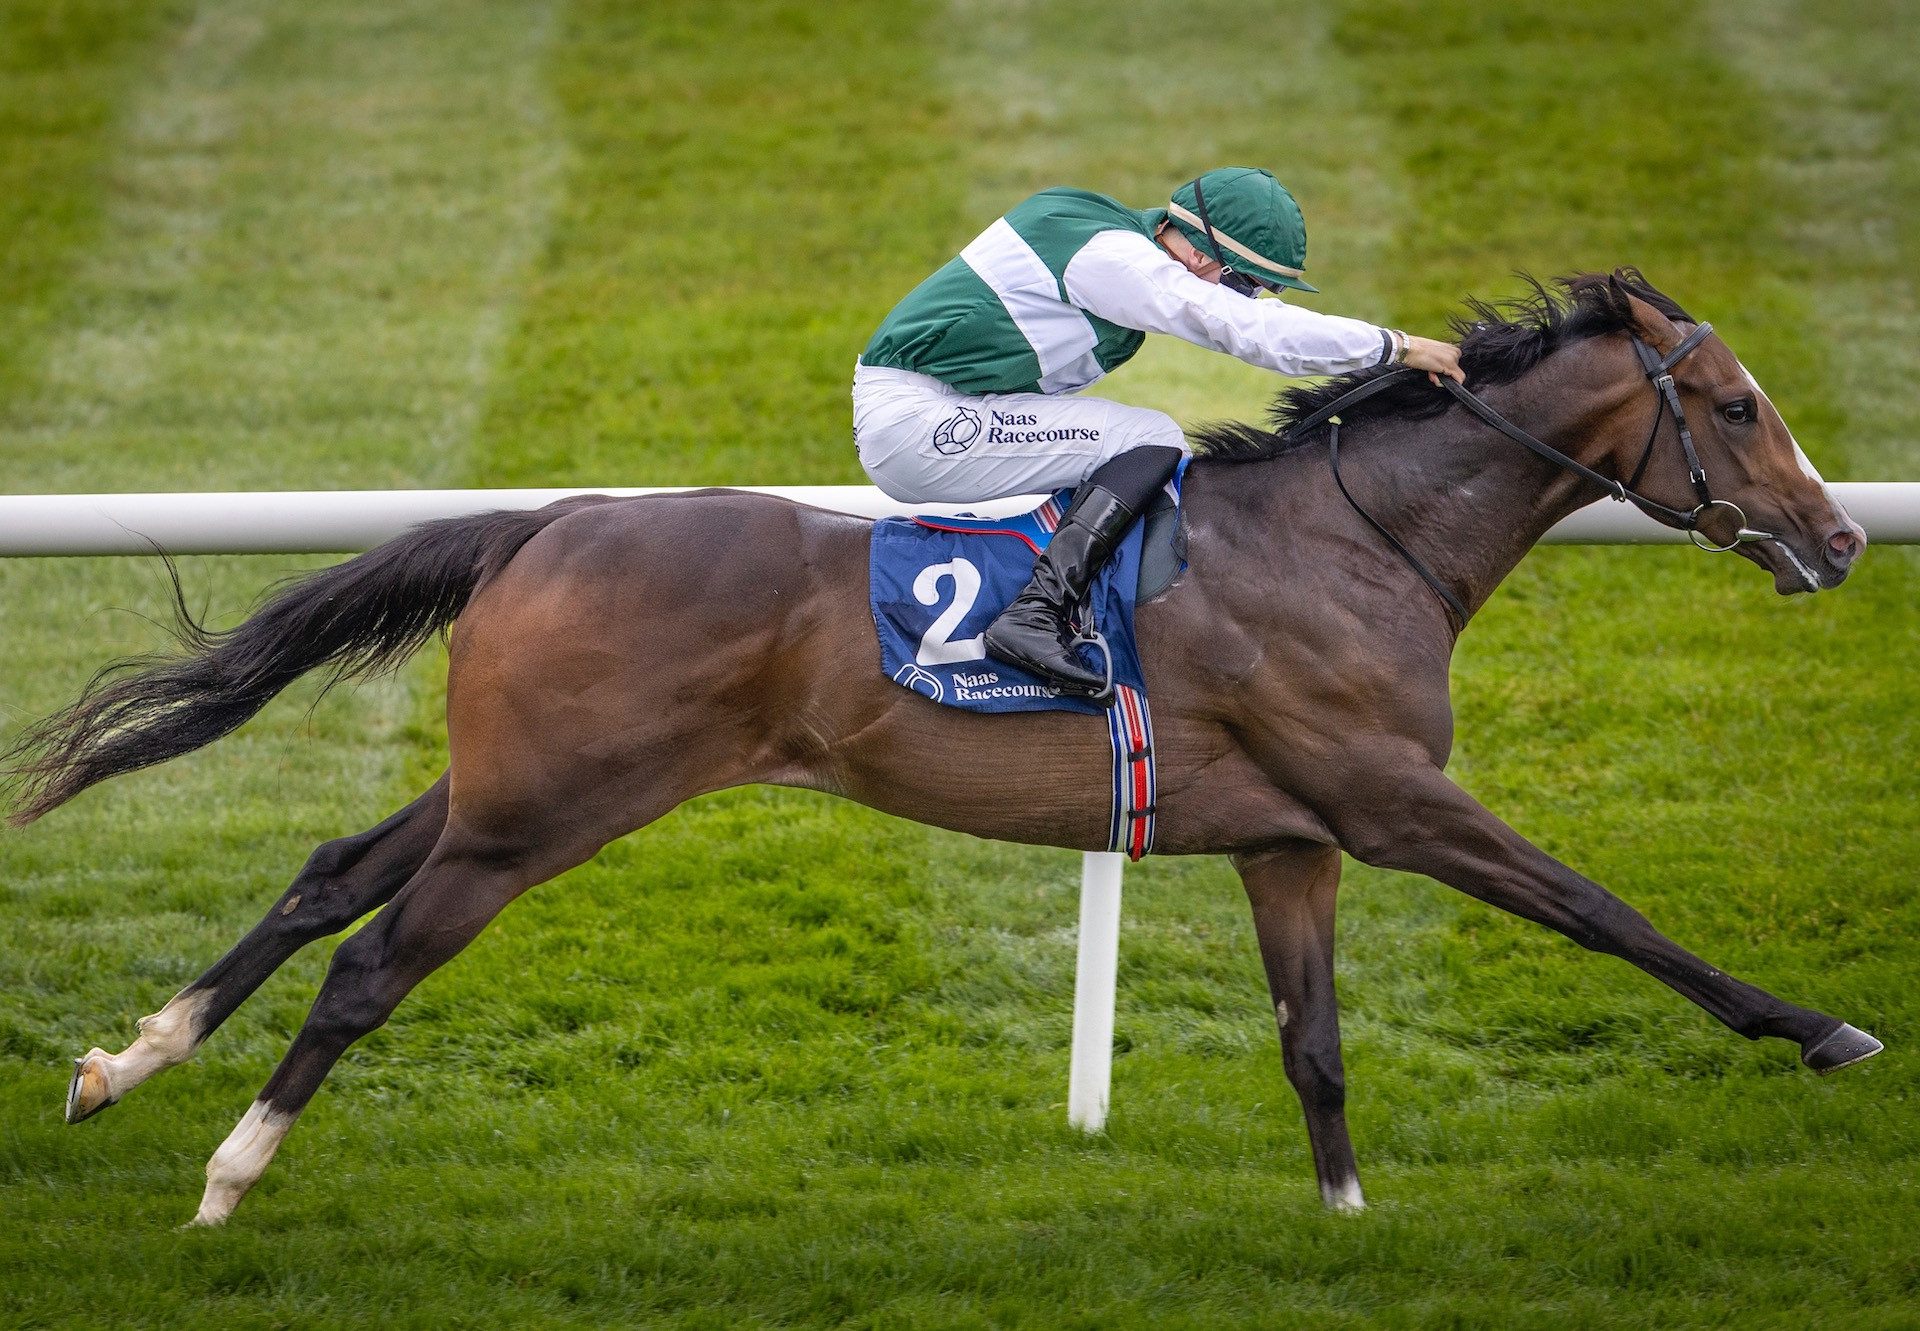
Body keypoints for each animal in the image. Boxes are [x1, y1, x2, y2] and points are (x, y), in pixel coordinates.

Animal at [3, 270, 1873, 1221]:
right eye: (1736, 405)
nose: (1842, 538)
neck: (1354, 538)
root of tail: (552, 518)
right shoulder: (1392, 797)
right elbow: (1605, 911)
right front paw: (1818, 1027)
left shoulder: (1292, 836)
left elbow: (1317, 1044)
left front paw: (1347, 1220)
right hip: (542, 816)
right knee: (370, 963)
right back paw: (231, 1167)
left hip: (505, 783)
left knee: (328, 878)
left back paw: (124, 1063)